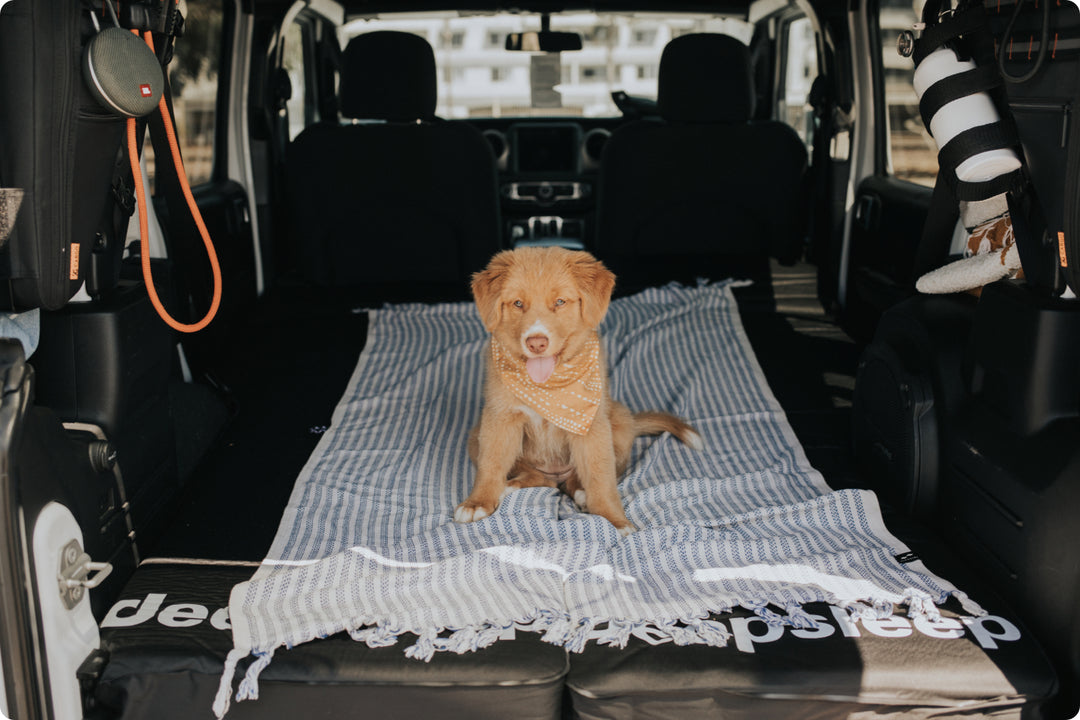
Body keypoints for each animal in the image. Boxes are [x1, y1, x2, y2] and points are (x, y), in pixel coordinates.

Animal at [453, 248, 699, 535]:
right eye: (517, 303)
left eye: (560, 302)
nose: (536, 342)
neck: (547, 386)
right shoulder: (499, 418)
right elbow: (490, 465)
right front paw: (478, 502)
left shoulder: (591, 427)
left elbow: (600, 476)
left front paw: (614, 519)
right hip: (476, 434)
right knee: (540, 480)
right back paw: (511, 486)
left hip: (617, 421)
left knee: (585, 477)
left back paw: (581, 493)